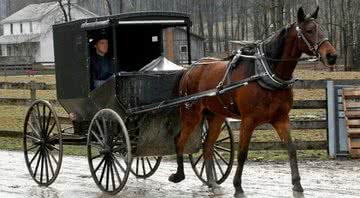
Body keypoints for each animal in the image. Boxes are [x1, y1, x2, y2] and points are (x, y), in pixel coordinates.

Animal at [169, 5, 338, 196]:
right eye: (309, 30)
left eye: (322, 28)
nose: (332, 55)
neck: (264, 73)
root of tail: (190, 69)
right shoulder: (248, 121)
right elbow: (242, 153)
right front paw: (238, 187)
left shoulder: (281, 119)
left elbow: (292, 149)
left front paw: (297, 185)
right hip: (191, 114)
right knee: (180, 141)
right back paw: (178, 175)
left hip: (216, 117)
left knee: (207, 147)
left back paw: (212, 183)